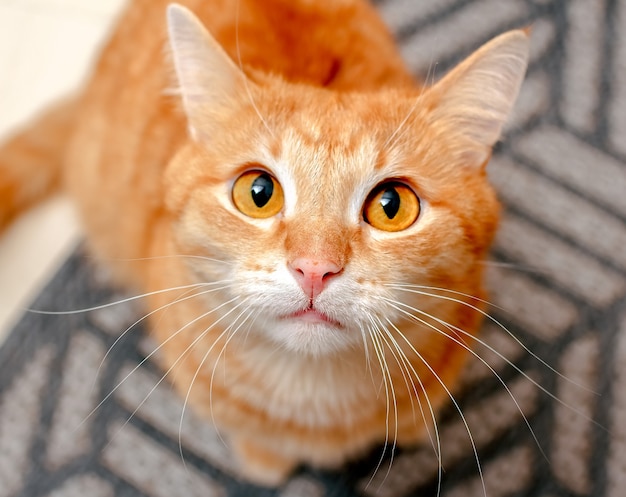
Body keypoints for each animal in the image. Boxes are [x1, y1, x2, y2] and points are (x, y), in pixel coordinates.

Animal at [0, 0, 528, 484]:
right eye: (258, 193)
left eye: (392, 205)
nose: (314, 268)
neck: (315, 402)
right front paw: (264, 462)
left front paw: (416, 427)